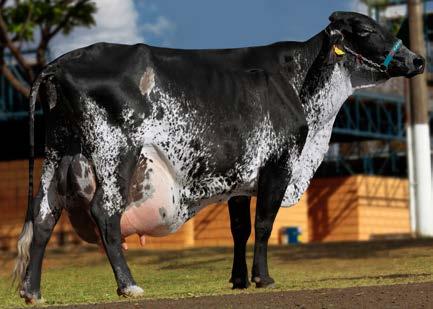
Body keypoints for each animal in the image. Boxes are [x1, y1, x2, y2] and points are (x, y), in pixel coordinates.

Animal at [12, 12, 422, 304]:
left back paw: (33, 292)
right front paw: (263, 278)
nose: (417, 60)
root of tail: (59, 63)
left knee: (44, 214)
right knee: (104, 211)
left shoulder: (239, 179)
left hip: (57, 154)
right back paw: (129, 285)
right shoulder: (278, 164)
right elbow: (264, 224)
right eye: (366, 29)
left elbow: (240, 229)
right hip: (115, 154)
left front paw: (238, 280)